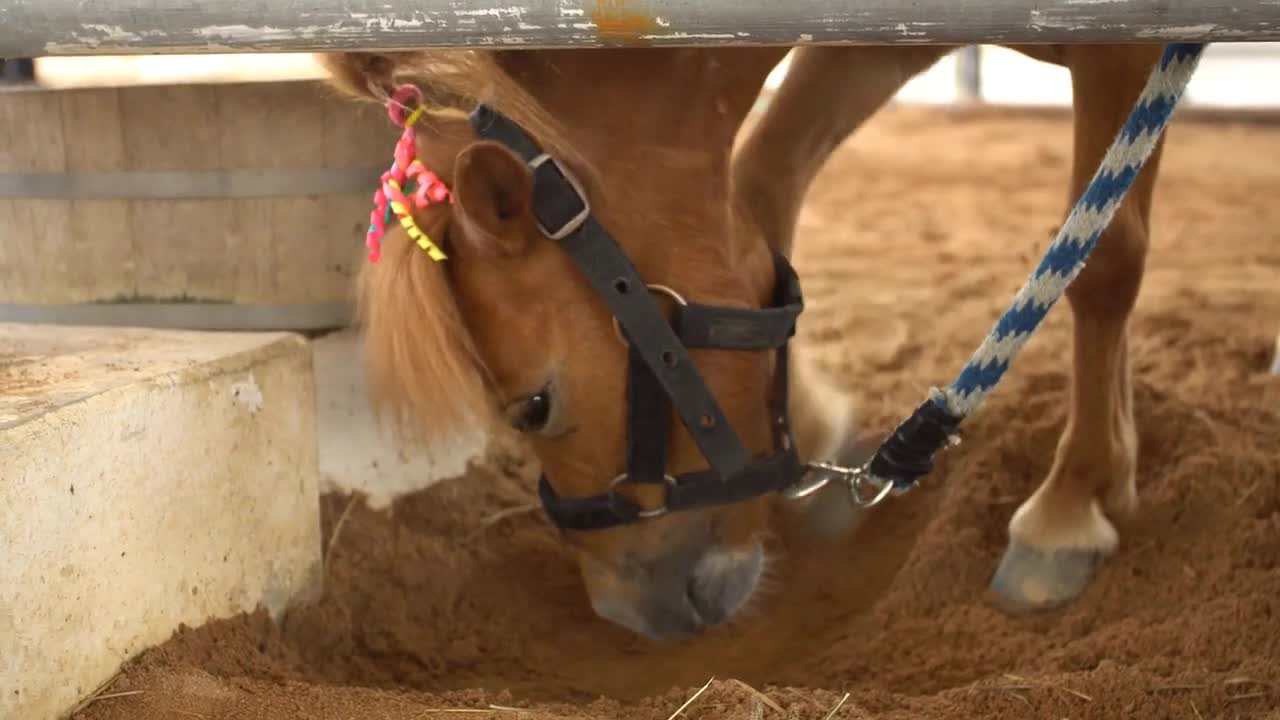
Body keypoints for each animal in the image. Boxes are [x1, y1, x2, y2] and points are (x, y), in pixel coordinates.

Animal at [317, 43, 1172, 638]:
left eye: (532, 407)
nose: (625, 612)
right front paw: (814, 425)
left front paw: (1070, 507)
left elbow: (1102, 255)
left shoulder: (1128, 50)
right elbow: (765, 185)